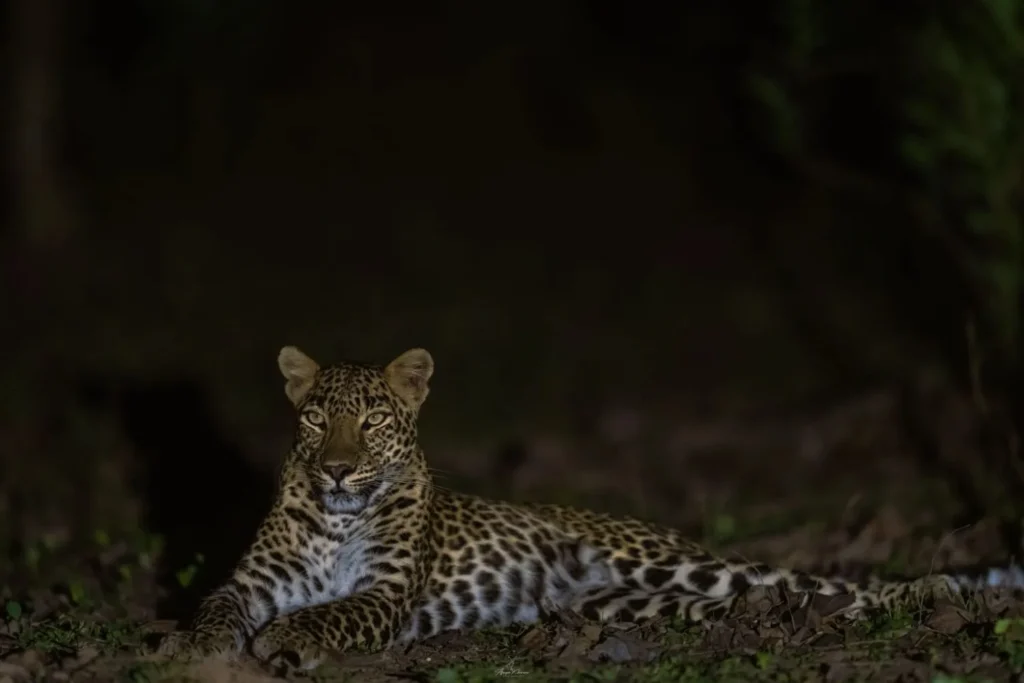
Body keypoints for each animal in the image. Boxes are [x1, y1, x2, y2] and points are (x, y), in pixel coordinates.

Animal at [158, 346, 1024, 673]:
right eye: (315, 420)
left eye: (370, 420)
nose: (337, 468)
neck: (339, 515)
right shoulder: (254, 580)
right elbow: (216, 603)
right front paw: (189, 646)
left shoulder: (385, 592)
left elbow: (329, 611)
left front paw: (288, 641)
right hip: (644, 603)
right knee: (796, 597)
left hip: (682, 562)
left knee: (829, 584)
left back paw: (942, 593)